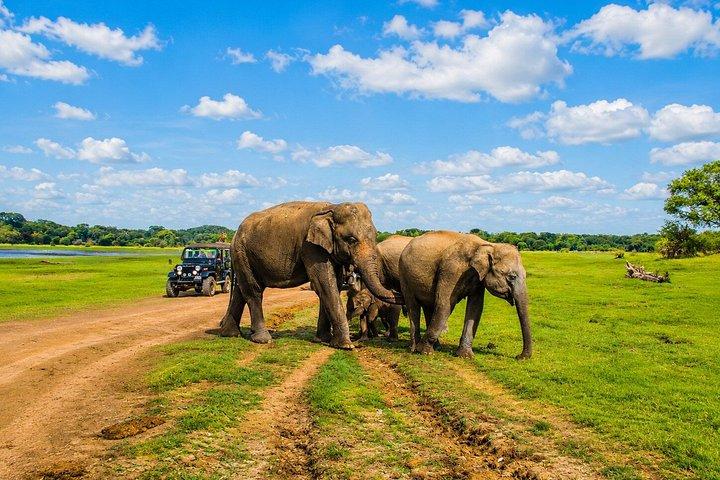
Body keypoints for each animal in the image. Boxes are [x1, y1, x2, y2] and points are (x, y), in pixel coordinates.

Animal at [217, 201, 402, 349]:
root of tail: (234, 236)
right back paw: (263, 340)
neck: (332, 207)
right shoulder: (311, 248)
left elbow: (332, 285)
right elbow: (325, 284)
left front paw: (323, 339)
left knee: (241, 290)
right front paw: (346, 346)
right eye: (351, 239)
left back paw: (230, 334)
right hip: (242, 252)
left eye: (376, 235)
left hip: (244, 256)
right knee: (253, 290)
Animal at [399, 231, 532, 359]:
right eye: (512, 276)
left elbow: (475, 308)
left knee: (429, 306)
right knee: (413, 306)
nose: (519, 357)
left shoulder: (478, 278)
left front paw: (466, 356)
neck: (487, 245)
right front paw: (424, 352)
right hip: (404, 276)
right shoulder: (451, 270)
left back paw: (436, 346)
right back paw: (415, 348)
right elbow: (445, 304)